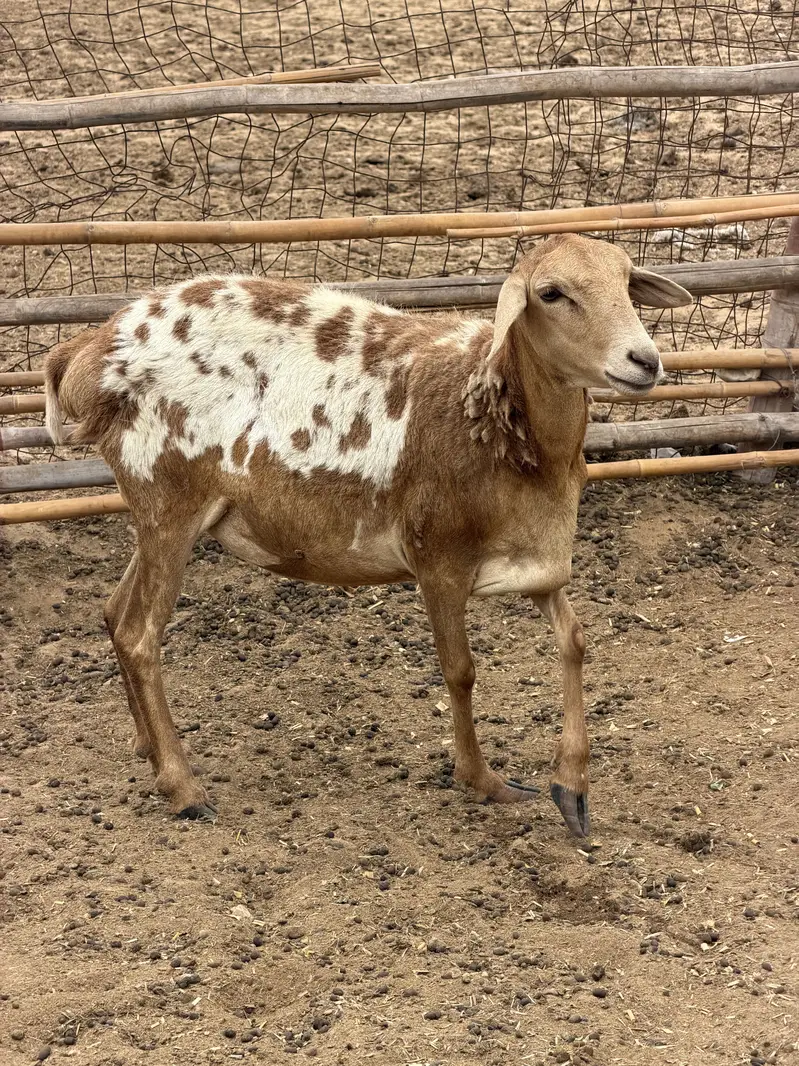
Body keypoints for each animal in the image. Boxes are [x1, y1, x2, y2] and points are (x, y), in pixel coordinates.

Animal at [44, 235, 692, 838]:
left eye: (627, 280)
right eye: (551, 293)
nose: (644, 360)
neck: (505, 427)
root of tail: (85, 353)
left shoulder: (537, 562)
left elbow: (575, 644)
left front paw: (572, 790)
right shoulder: (438, 557)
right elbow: (460, 670)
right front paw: (483, 781)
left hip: (159, 513)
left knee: (114, 612)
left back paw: (149, 752)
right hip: (168, 497)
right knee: (139, 635)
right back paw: (182, 787)